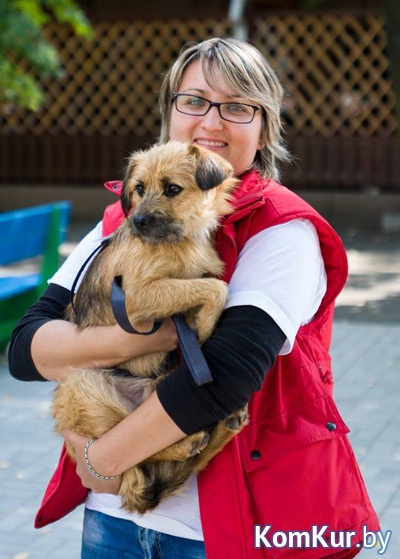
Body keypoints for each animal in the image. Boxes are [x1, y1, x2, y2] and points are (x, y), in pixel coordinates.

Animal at [52, 142, 247, 516]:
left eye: (172, 188)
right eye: (139, 188)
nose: (138, 221)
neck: (178, 240)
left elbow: (207, 285)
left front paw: (200, 325)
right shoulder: (135, 296)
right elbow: (215, 288)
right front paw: (205, 327)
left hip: (155, 389)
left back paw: (225, 427)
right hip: (84, 383)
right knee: (130, 448)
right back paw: (192, 441)